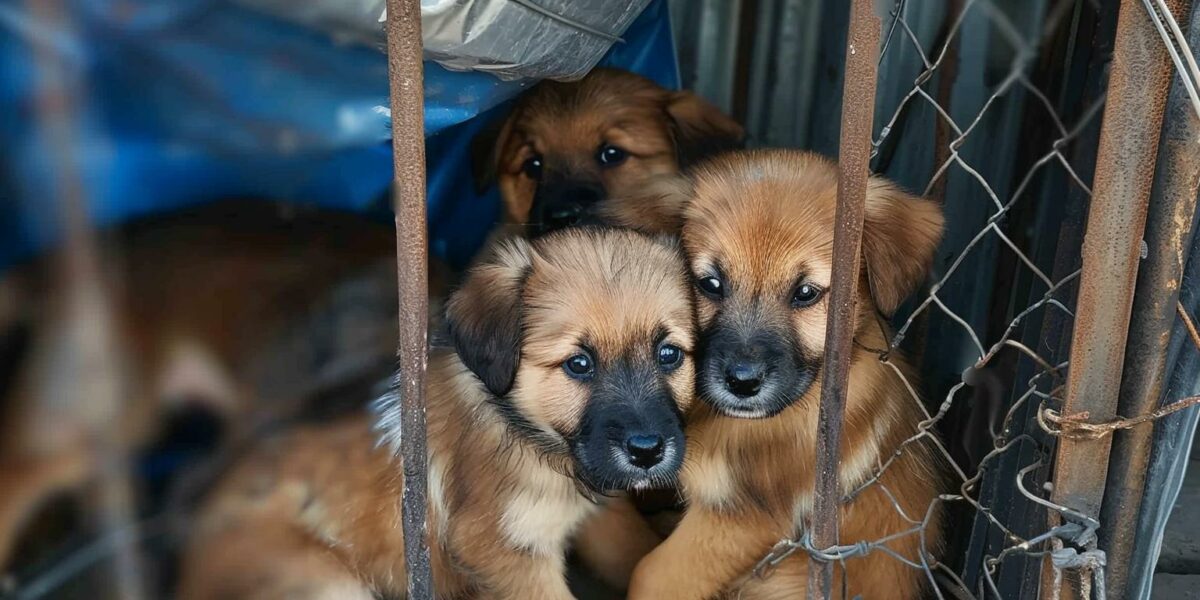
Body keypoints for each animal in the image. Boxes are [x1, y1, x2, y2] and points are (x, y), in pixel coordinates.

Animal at [182, 228, 700, 600]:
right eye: (579, 364)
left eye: (669, 355)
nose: (647, 452)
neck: (533, 437)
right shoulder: (504, 550)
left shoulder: (601, 518)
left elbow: (641, 558)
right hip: (329, 582)